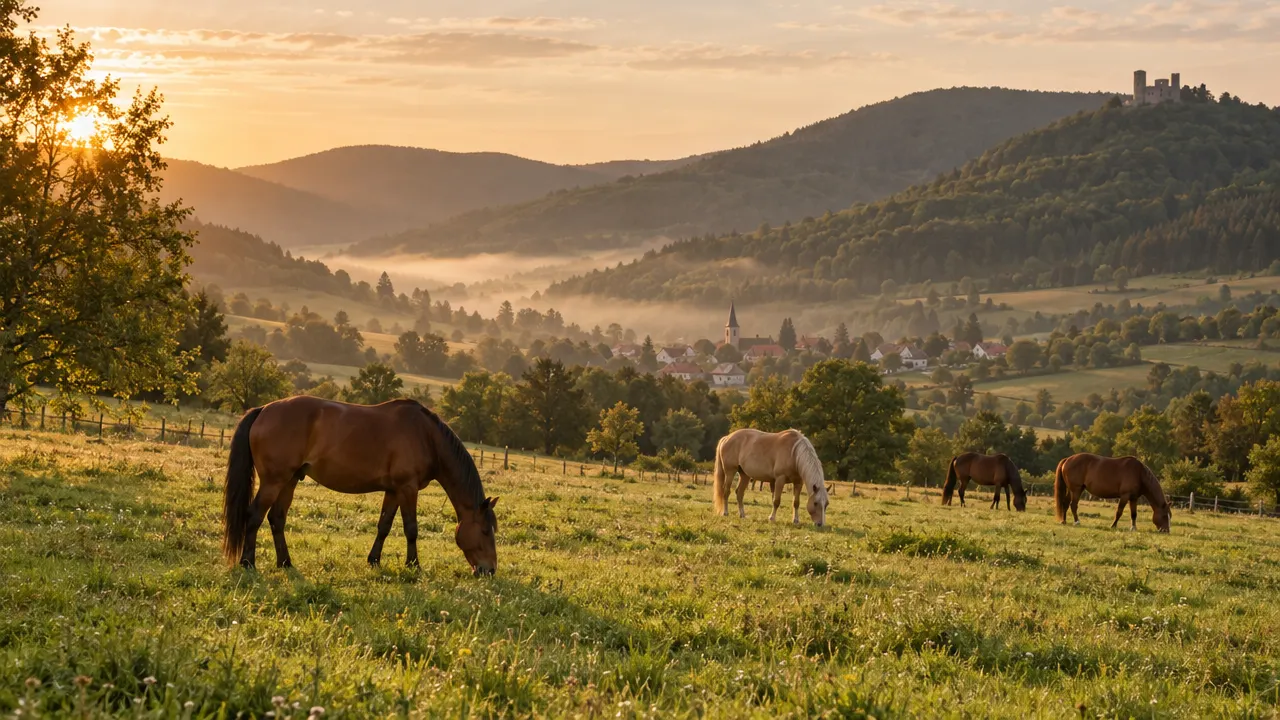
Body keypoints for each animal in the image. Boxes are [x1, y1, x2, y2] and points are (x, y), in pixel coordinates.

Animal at [222, 396, 499, 575]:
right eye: (486, 531)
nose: (489, 570)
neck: (426, 436)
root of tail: (264, 409)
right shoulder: (407, 488)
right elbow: (411, 528)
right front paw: (413, 566)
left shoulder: (393, 490)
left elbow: (384, 526)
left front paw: (374, 560)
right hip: (274, 481)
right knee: (254, 515)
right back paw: (248, 563)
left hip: (289, 481)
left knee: (276, 519)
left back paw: (285, 563)